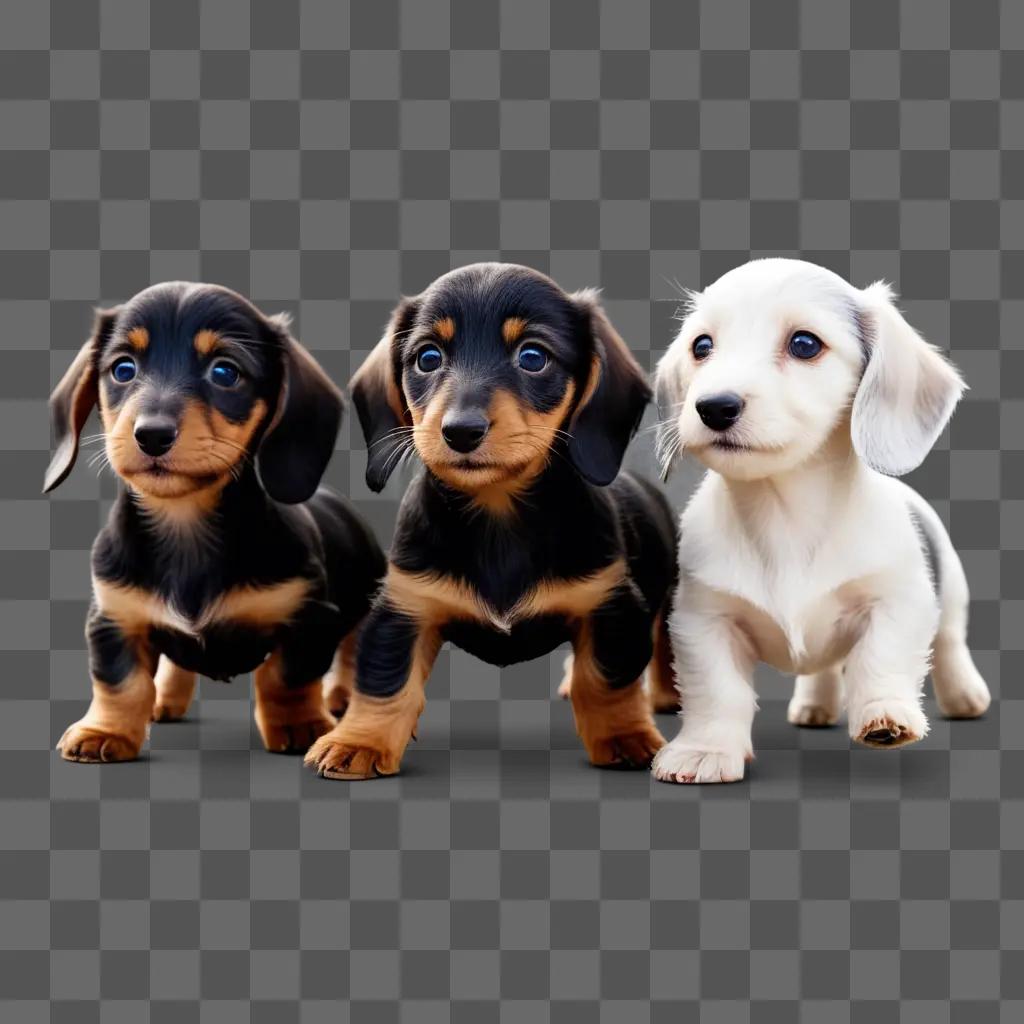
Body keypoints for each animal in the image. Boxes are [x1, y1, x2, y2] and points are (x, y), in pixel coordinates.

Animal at [46, 280, 385, 761]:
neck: (185, 524)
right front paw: (105, 731)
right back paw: (167, 698)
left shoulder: (311, 617)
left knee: (354, 647)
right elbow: (120, 683)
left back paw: (340, 696)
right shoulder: (114, 617)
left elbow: (285, 677)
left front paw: (299, 725)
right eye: (123, 369)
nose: (151, 435)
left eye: (225, 372)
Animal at [305, 262, 679, 774]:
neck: (498, 516)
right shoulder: (406, 604)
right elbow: (385, 680)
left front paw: (625, 736)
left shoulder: (610, 602)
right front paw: (358, 741)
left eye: (533, 356)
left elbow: (605, 681)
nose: (461, 431)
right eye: (427, 358)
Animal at [647, 258, 991, 782]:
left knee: (951, 644)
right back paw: (814, 706)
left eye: (805, 344)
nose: (713, 407)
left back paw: (964, 695)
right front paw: (705, 749)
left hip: (950, 591)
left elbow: (881, 656)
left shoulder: (899, 601)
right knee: (823, 669)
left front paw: (884, 714)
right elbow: (718, 691)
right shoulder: (704, 619)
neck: (786, 515)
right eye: (701, 346)